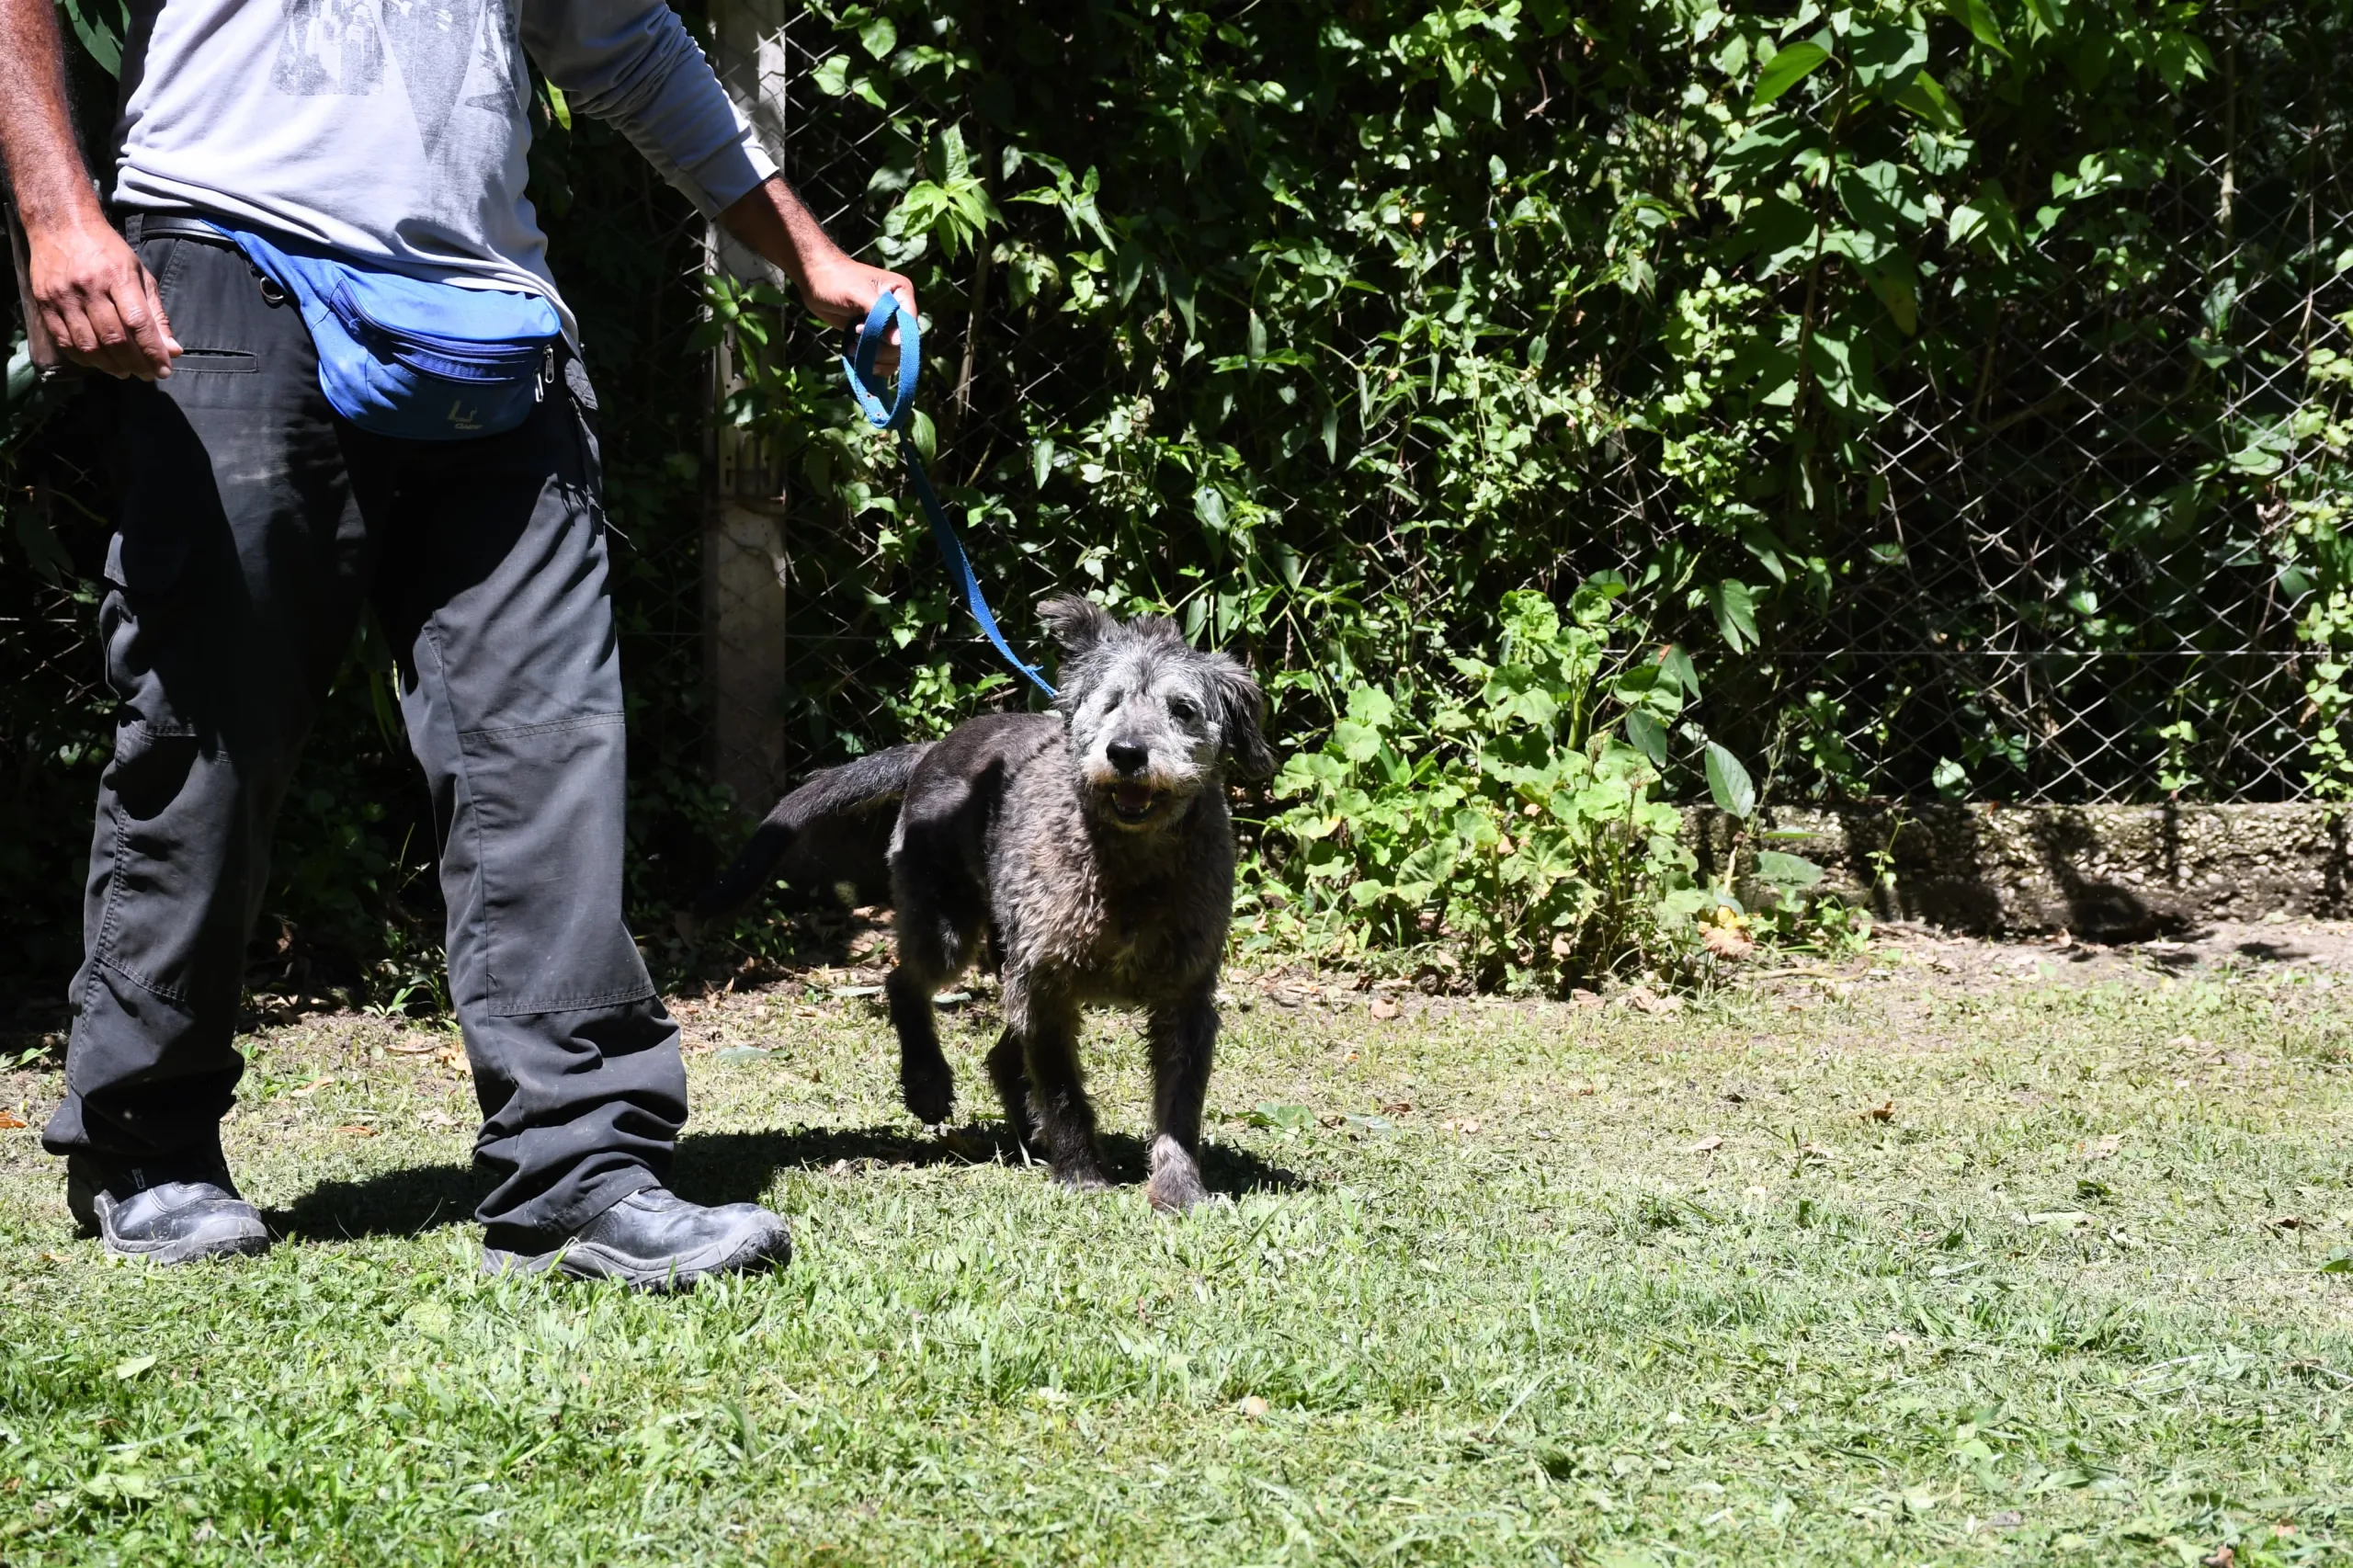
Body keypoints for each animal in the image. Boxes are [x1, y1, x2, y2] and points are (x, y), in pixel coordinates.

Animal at [700, 593, 1270, 1200]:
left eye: (1182, 709)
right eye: (1110, 702)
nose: (1125, 753)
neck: (1128, 867)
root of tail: (934, 749)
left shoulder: (1185, 996)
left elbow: (1179, 1105)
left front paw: (1179, 1188)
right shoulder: (1043, 985)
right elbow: (1063, 1092)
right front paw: (1082, 1175)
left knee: (1000, 1056)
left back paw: (1028, 1135)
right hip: (946, 925)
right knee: (903, 983)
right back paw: (927, 1083)